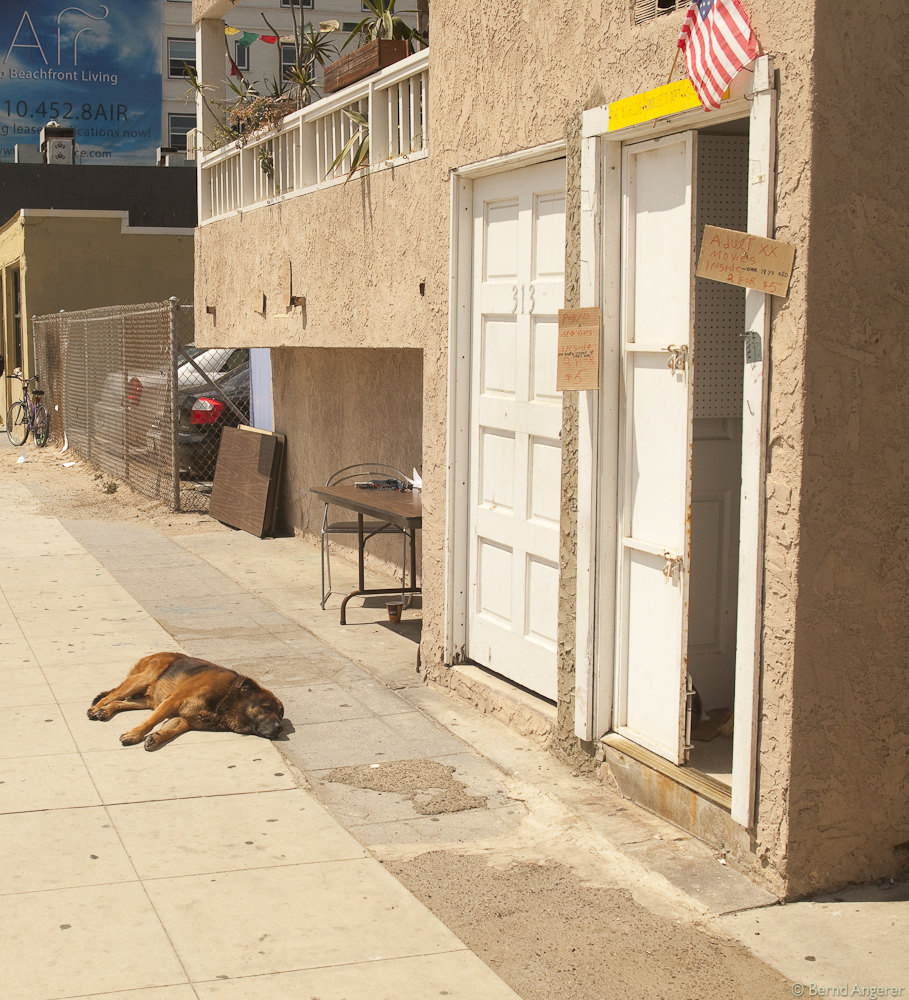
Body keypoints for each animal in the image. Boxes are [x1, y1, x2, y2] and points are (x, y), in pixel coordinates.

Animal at [86, 648, 284, 752]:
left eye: (280, 716)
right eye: (266, 708)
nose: (279, 728)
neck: (228, 700)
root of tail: (155, 653)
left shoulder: (185, 719)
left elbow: (170, 729)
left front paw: (156, 737)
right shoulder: (173, 701)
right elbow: (151, 722)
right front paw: (135, 734)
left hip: (149, 701)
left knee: (120, 702)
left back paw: (105, 710)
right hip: (140, 680)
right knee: (112, 695)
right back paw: (96, 709)